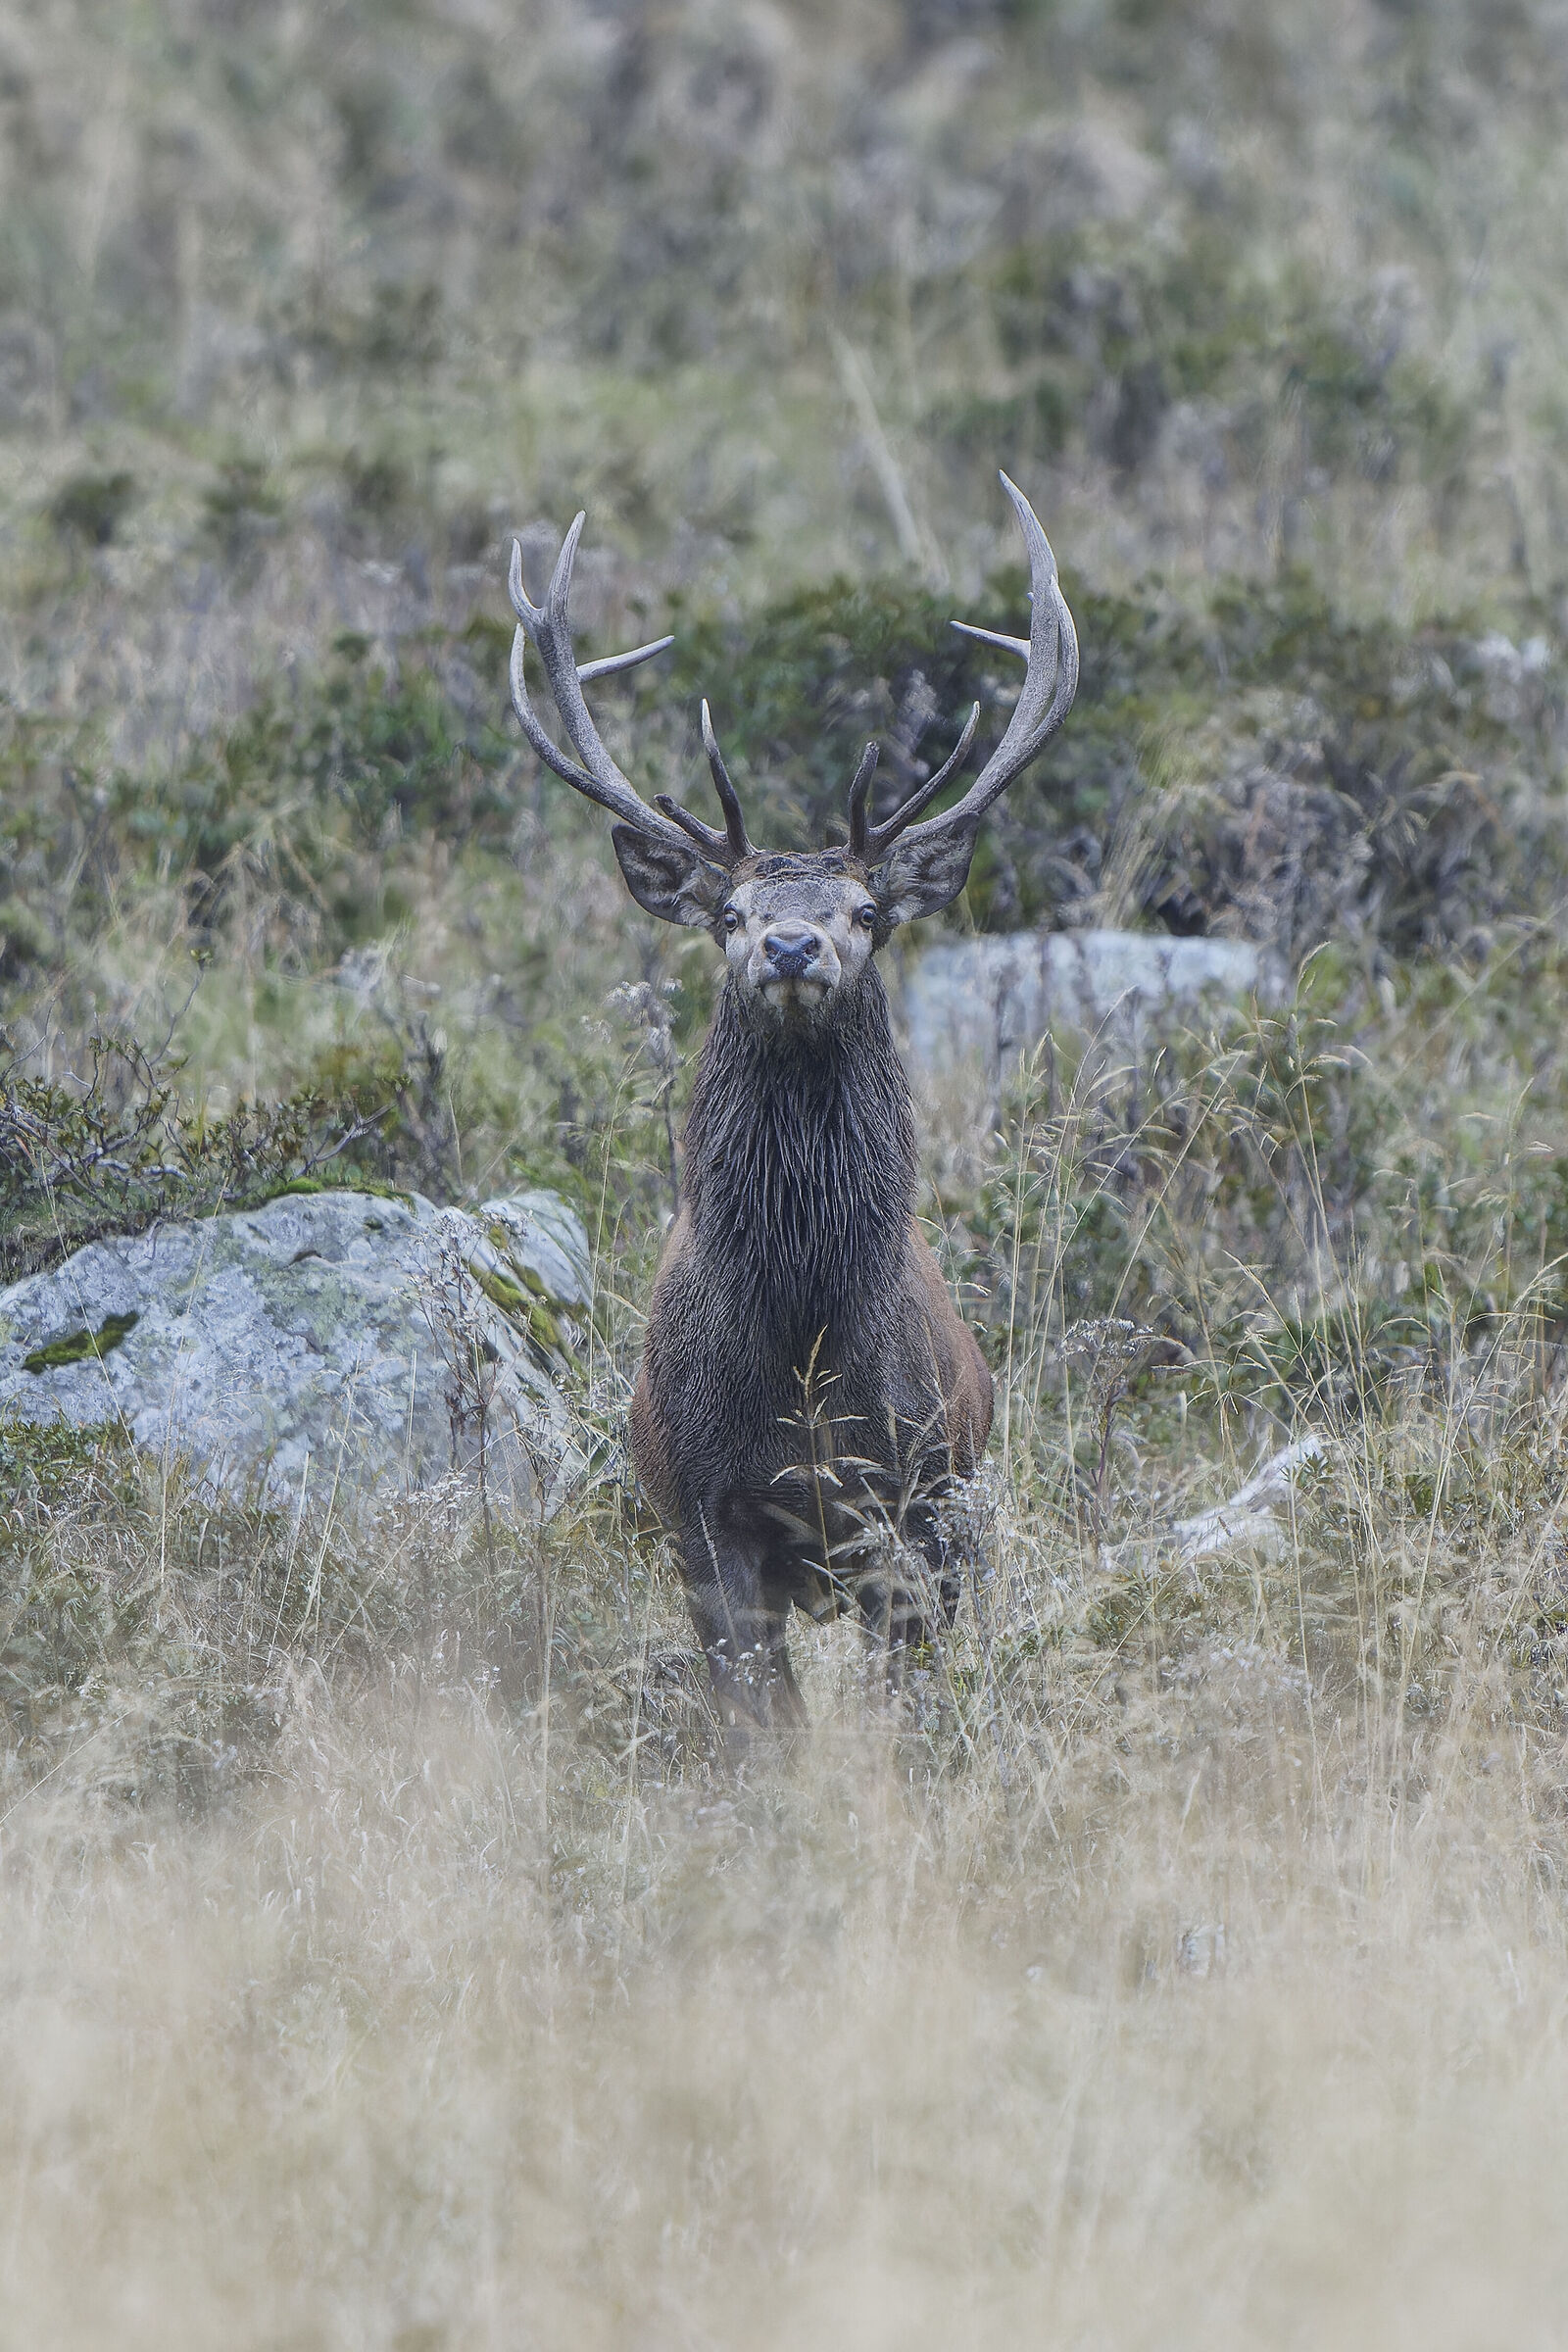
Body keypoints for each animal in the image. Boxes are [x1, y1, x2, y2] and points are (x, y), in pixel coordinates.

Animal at [507, 476, 1078, 1732]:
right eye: (727, 913)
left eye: (866, 910)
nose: (788, 943)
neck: (803, 1336)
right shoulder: (703, 1519)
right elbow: (762, 1731)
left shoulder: (913, 1511)